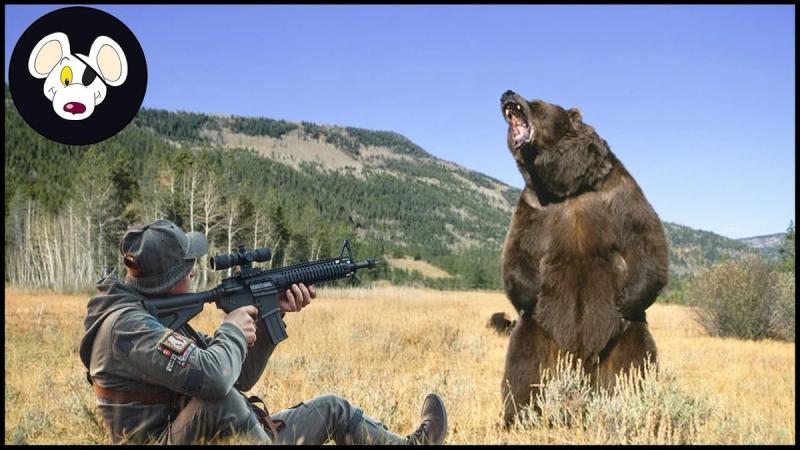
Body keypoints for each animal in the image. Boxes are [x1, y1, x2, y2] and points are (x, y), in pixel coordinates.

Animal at [497, 90, 669, 427]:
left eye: (536, 101)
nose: (507, 94)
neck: (568, 187)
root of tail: (583, 367)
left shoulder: (619, 193)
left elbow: (646, 239)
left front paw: (627, 298)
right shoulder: (533, 207)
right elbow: (518, 252)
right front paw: (531, 293)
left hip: (624, 337)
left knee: (636, 365)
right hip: (540, 334)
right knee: (523, 369)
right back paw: (517, 417)